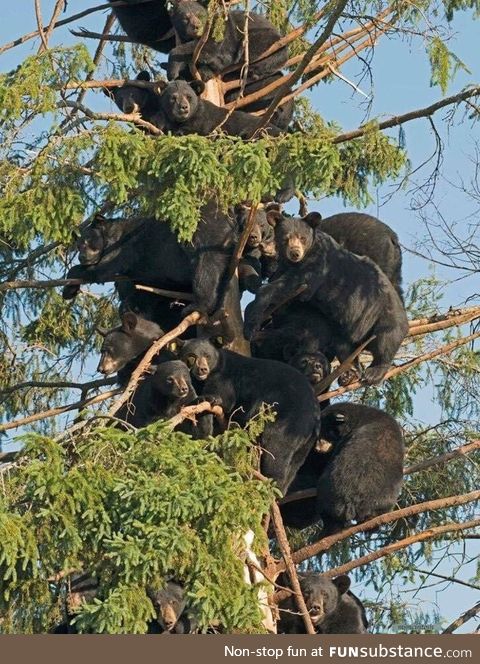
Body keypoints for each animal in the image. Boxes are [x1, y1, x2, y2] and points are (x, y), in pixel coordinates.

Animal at [175, 338, 318, 492]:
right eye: (192, 356)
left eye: (207, 356)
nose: (202, 369)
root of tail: (315, 415)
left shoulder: (224, 377)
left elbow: (224, 398)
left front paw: (206, 398)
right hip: (306, 442)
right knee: (294, 465)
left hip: (289, 420)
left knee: (277, 449)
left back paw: (270, 482)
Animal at [244, 210, 408, 386]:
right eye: (285, 238)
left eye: (302, 238)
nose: (295, 253)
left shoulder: (317, 266)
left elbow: (292, 286)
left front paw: (252, 322)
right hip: (346, 331)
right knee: (345, 348)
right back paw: (350, 373)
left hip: (382, 314)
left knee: (386, 340)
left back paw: (373, 372)